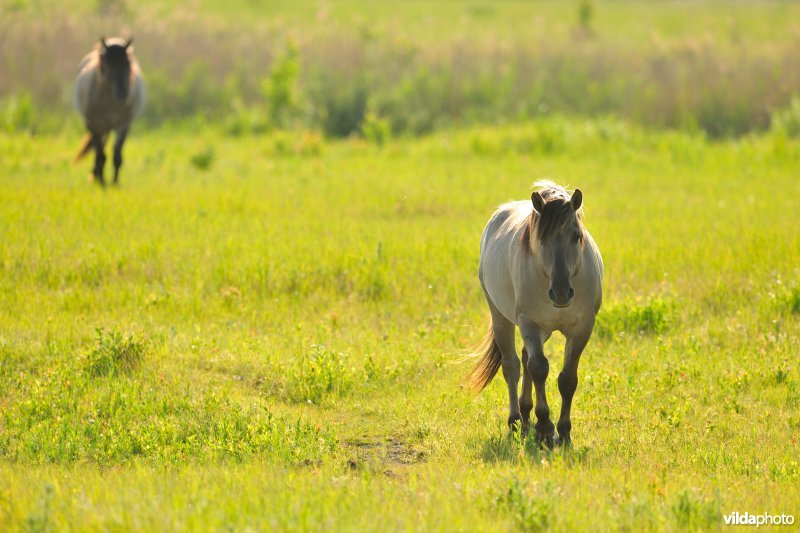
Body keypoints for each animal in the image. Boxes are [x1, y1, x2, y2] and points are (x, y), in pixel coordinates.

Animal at [73, 36, 145, 186]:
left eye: (128, 64)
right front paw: (101, 182)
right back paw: (96, 174)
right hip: (98, 127)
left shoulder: (123, 125)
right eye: (108, 65)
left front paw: (115, 183)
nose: (123, 94)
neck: (110, 103)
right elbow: (101, 155)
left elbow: (117, 155)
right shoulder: (94, 125)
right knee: (98, 149)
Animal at [466, 182, 604, 444]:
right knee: (512, 366)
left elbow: (567, 379)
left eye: (576, 236)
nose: (561, 293)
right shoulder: (530, 324)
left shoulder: (582, 329)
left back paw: (526, 415)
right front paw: (545, 428)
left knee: (524, 358)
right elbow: (539, 369)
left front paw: (564, 431)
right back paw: (515, 420)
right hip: (501, 317)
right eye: (542, 238)